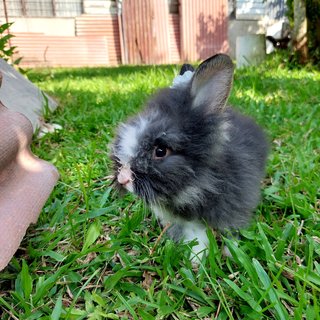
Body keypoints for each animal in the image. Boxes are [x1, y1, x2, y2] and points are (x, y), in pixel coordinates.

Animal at [111, 54, 268, 260]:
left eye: (160, 151)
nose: (123, 179)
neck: (197, 183)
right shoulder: (187, 222)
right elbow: (197, 236)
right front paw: (196, 260)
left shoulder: (234, 208)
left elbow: (231, 233)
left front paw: (231, 254)